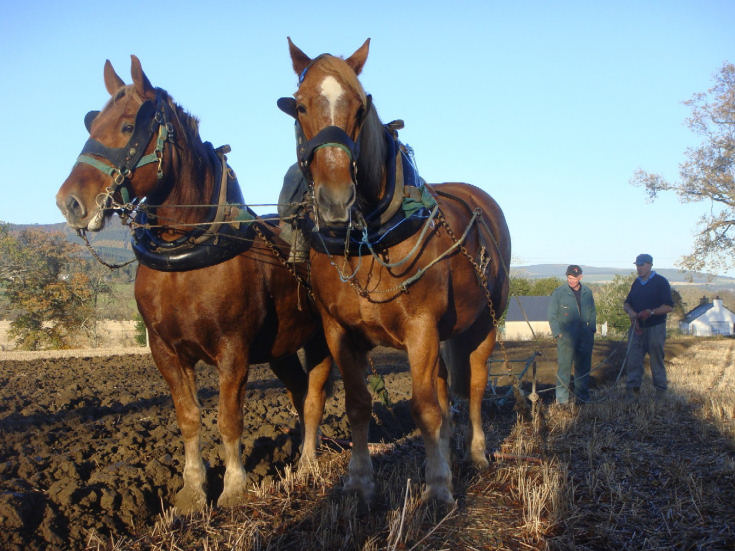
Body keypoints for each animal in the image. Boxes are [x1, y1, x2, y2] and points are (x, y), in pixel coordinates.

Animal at [55, 56, 332, 513]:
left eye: (128, 126)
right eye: (91, 123)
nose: (69, 202)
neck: (187, 255)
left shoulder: (233, 349)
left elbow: (228, 418)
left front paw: (235, 488)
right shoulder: (165, 351)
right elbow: (188, 418)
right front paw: (192, 491)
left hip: (323, 337)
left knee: (313, 397)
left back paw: (309, 463)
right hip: (280, 348)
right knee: (296, 390)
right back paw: (297, 463)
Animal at [278, 38, 511, 503]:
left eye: (360, 107)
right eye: (300, 106)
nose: (336, 200)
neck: (369, 239)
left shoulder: (421, 327)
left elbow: (424, 408)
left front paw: (437, 486)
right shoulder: (338, 331)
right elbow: (358, 404)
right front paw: (360, 481)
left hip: (484, 324)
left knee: (473, 387)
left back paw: (475, 453)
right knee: (445, 389)